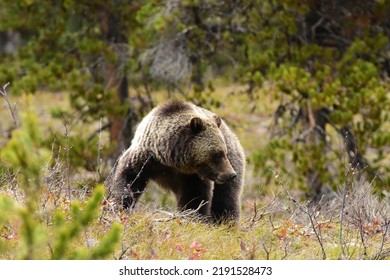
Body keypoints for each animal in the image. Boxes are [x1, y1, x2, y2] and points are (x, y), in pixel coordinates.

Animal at [108, 100, 245, 223]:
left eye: (223, 152)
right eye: (217, 154)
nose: (231, 174)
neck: (171, 160)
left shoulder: (192, 175)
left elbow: (195, 196)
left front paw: (193, 217)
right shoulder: (145, 158)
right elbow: (130, 179)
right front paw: (120, 206)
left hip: (234, 161)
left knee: (225, 199)